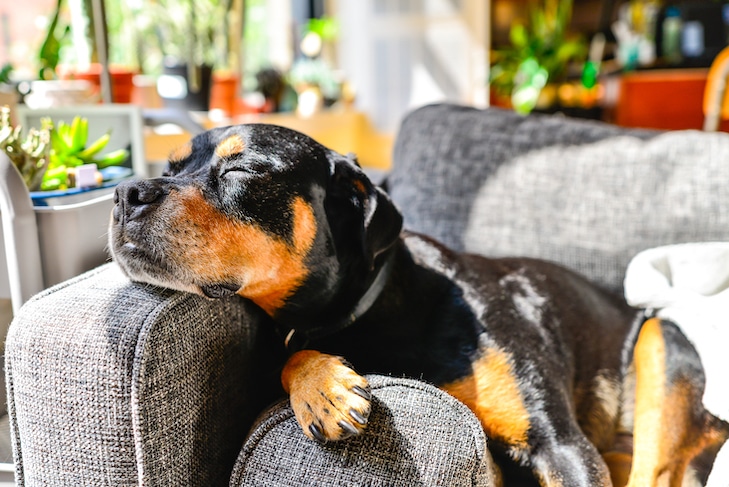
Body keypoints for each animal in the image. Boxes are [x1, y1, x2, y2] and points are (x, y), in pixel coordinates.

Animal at [109, 124, 728, 486]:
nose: (124, 193)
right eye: (169, 169)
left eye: (242, 170)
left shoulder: (561, 446)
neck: (377, 308)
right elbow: (294, 354)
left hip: (661, 344)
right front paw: (324, 389)